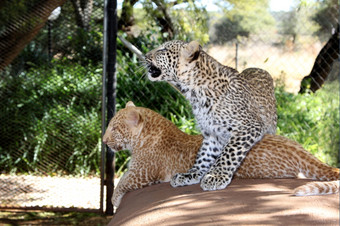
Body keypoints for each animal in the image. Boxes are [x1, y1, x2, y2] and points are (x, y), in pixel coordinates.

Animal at [103, 101, 338, 208]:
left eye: (114, 128)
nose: (104, 141)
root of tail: (300, 150)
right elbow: (122, 178)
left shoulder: (142, 173)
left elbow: (123, 182)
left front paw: (114, 200)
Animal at [145, 40, 278, 191]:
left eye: (162, 50)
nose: (145, 55)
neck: (193, 92)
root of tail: (260, 69)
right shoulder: (212, 133)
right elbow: (204, 155)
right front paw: (192, 174)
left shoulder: (248, 126)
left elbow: (229, 153)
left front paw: (216, 176)